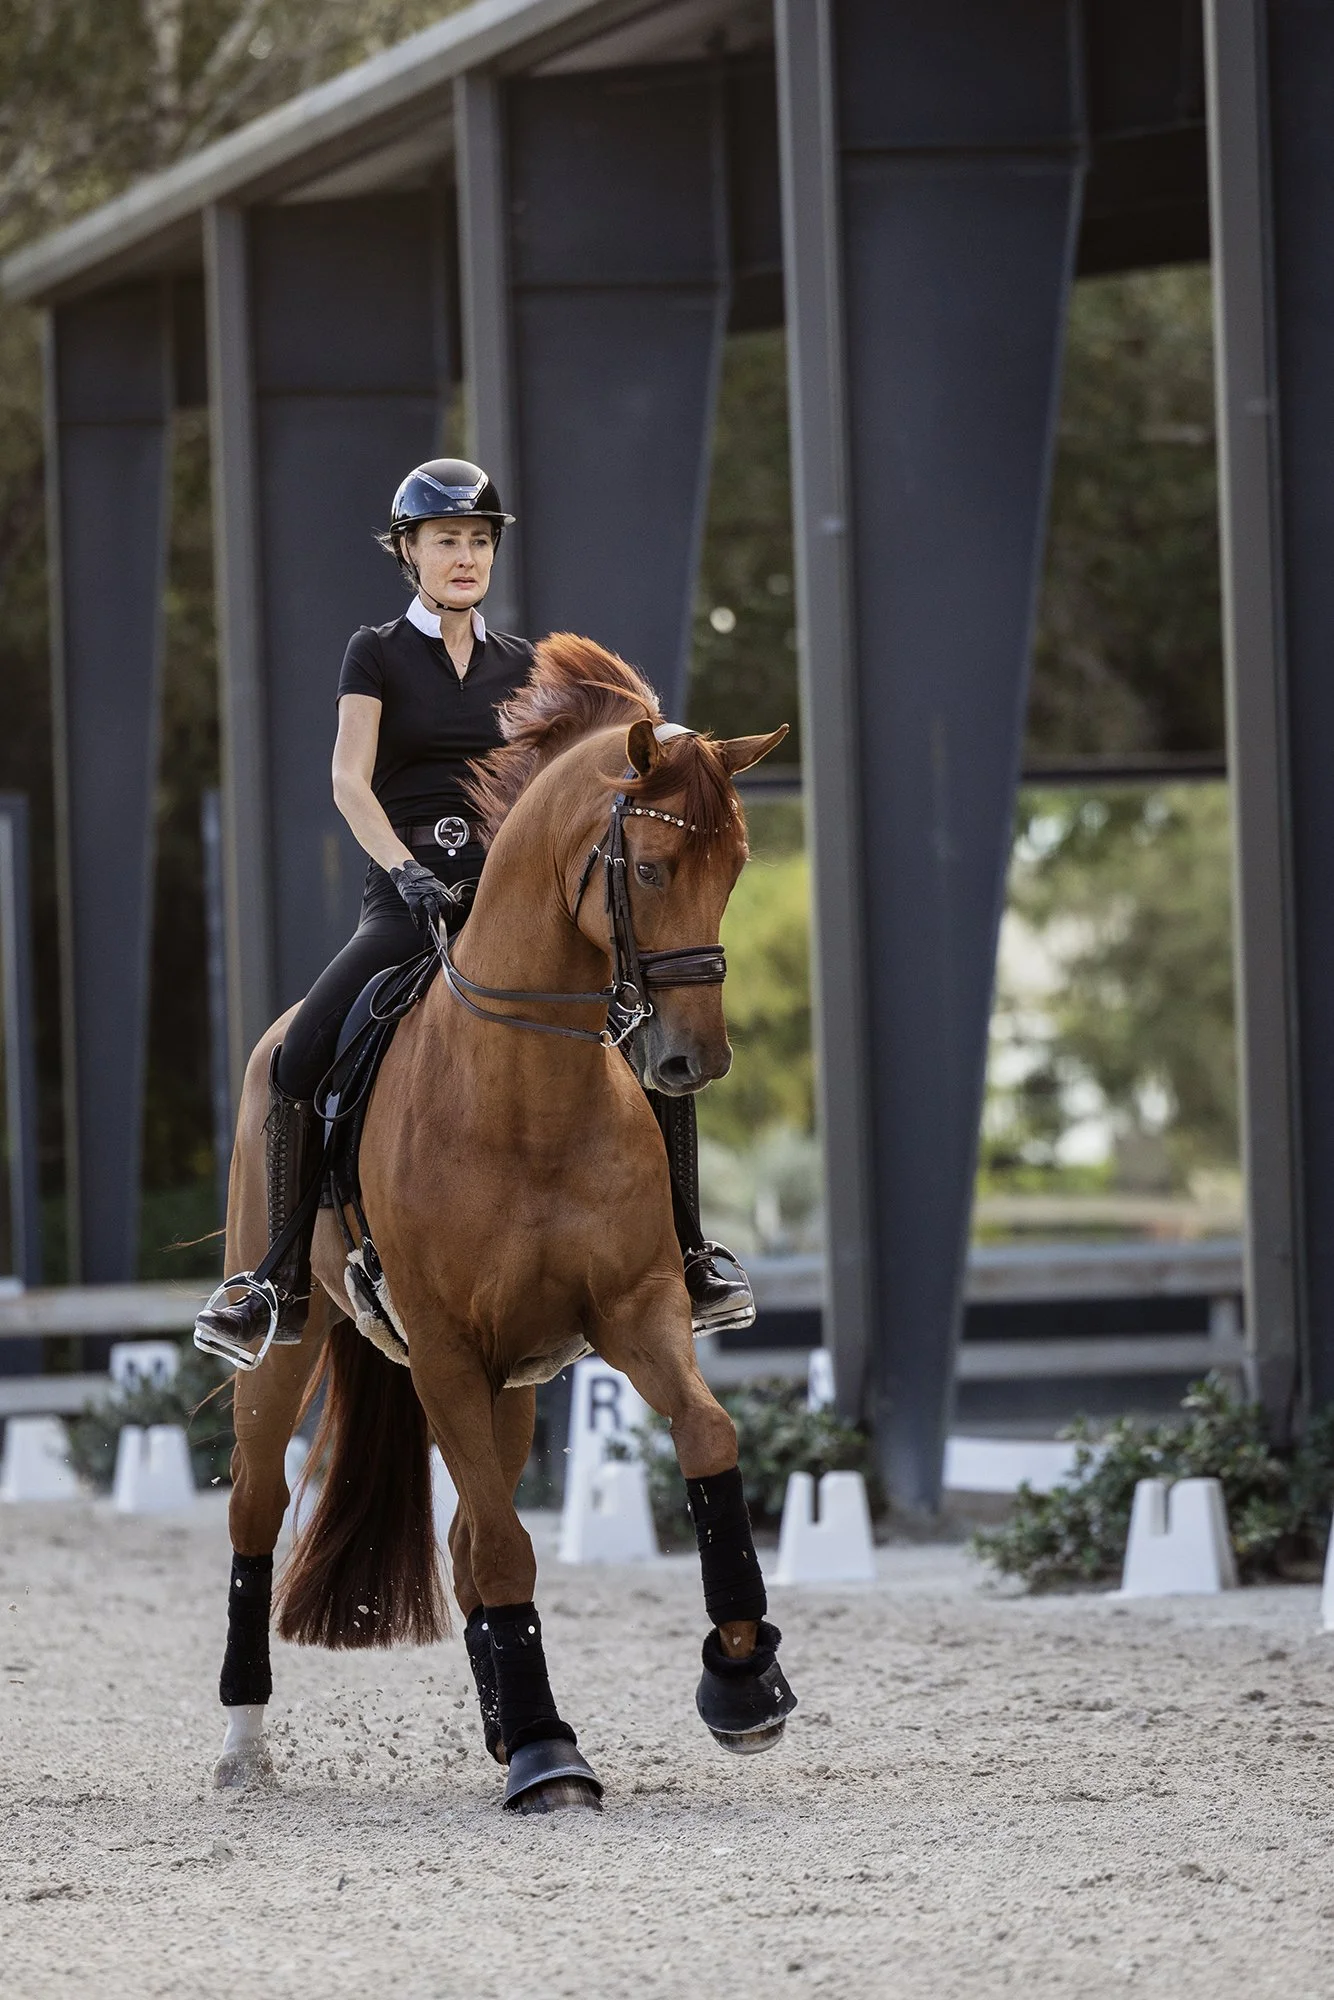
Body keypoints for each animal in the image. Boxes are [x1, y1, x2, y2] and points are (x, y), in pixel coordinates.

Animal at [211, 634, 795, 1812]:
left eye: (734, 871)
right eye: (649, 869)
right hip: (291, 1349)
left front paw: (743, 1680)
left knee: (465, 1536)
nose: (689, 1062)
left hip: (517, 1379)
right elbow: (508, 1546)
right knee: (260, 1513)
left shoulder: (632, 1311)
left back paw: (505, 1722)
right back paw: (248, 1744)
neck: (525, 1093)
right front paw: (546, 1753)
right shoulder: (443, 1346)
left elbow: (705, 1438)